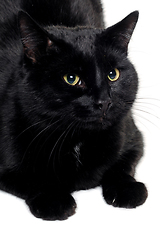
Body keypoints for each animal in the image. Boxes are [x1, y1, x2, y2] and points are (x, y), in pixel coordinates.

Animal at [0, 0, 148, 220]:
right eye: (71, 78)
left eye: (113, 74)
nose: (104, 101)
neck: (77, 138)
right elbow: (32, 179)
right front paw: (54, 200)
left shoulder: (134, 138)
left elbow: (121, 166)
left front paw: (127, 189)